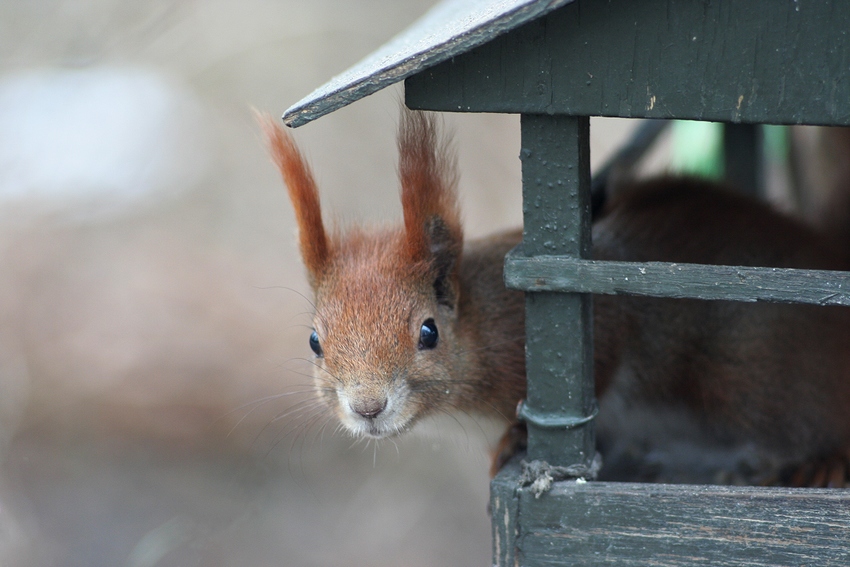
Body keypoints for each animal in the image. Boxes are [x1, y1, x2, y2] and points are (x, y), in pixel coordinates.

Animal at [258, 111, 848, 488]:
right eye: (314, 342)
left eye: (428, 332)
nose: (367, 407)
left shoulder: (581, 323)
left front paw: (519, 437)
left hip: (756, 377)